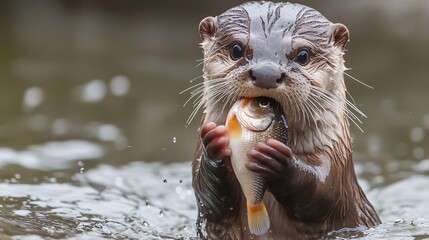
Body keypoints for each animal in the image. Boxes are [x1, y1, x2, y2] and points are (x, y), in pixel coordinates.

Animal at [189, 1, 380, 238]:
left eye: (303, 55)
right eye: (236, 49)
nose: (266, 73)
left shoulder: (334, 163)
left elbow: (323, 192)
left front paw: (279, 160)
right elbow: (208, 196)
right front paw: (215, 147)